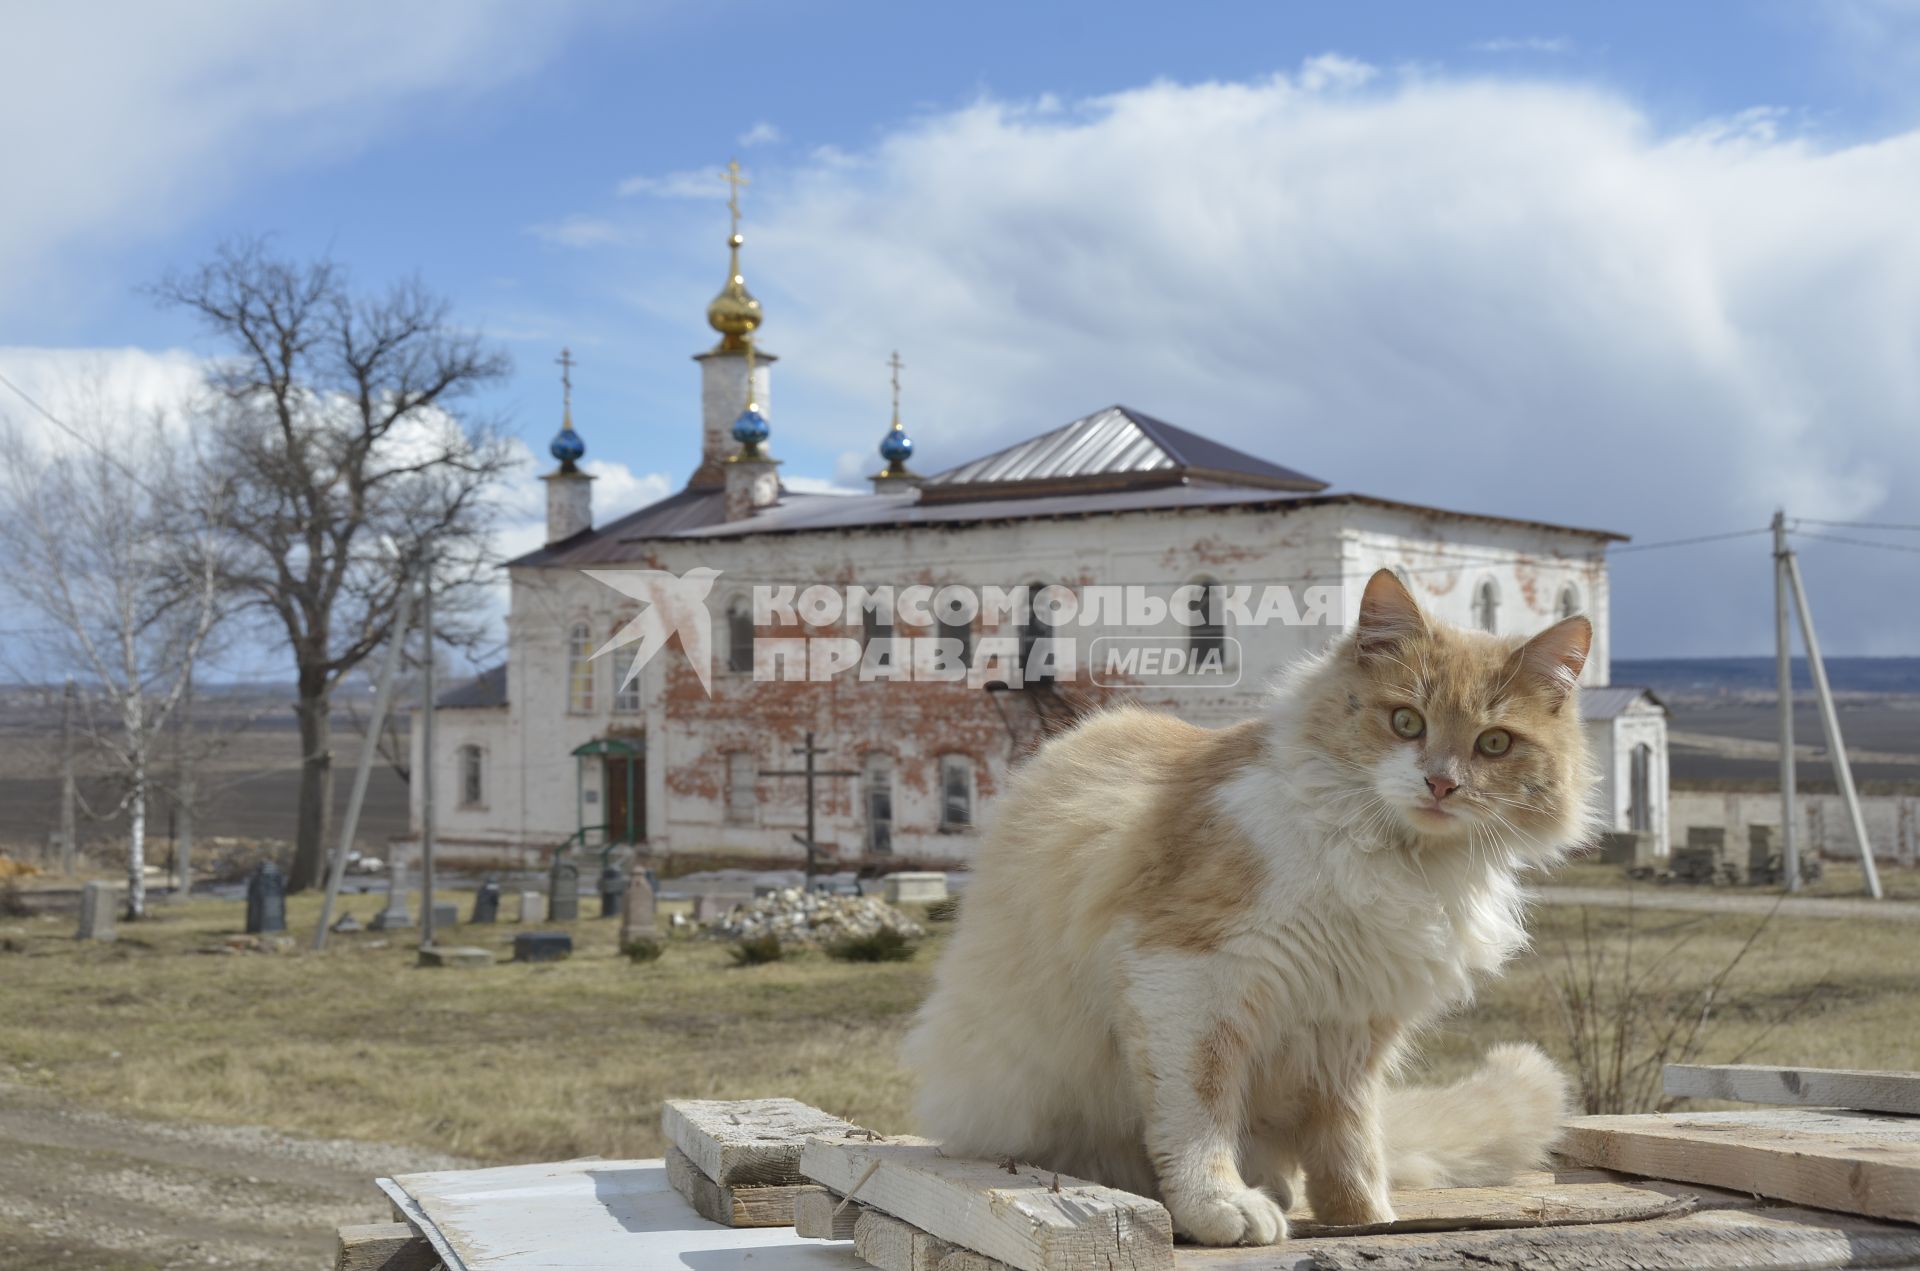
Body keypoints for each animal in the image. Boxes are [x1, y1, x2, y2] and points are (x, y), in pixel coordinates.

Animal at [906, 572, 1597, 1251]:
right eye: (1406, 722)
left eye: (1494, 744)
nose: (1441, 784)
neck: (1396, 859)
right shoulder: (1188, 980)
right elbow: (1200, 1112)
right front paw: (1219, 1205)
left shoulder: (1352, 1023)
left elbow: (1350, 1138)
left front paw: (1365, 1216)